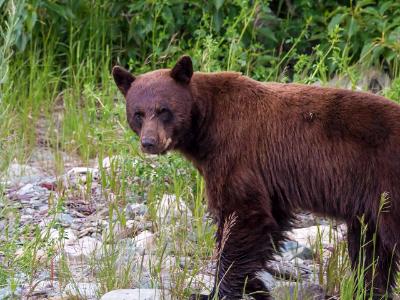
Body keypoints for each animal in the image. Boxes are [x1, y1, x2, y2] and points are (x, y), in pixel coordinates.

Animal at [111, 56, 400, 300]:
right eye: (138, 113)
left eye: (164, 110)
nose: (150, 142)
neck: (206, 124)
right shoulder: (268, 181)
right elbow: (270, 221)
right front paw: (254, 284)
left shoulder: (236, 153)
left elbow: (242, 215)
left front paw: (216, 290)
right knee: (371, 248)